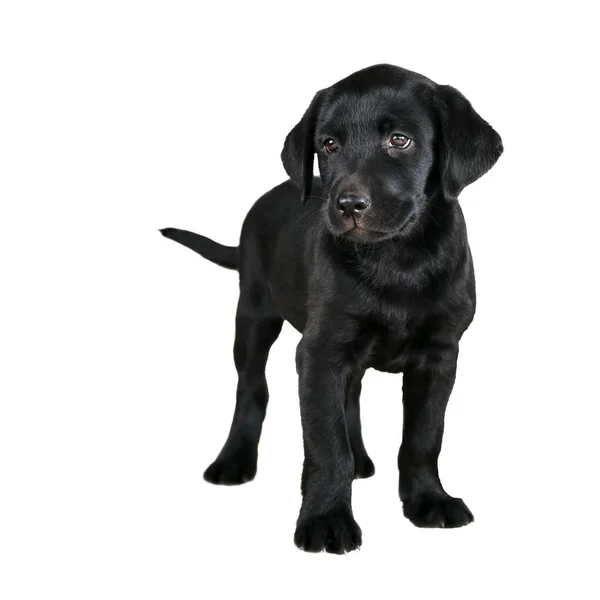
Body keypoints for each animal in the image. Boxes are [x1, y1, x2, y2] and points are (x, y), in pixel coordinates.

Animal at [159, 64, 502, 552]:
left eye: (400, 140)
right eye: (328, 144)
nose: (349, 204)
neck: (397, 259)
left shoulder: (440, 356)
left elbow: (423, 436)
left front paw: (428, 501)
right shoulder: (319, 352)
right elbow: (325, 441)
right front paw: (325, 519)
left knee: (350, 396)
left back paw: (361, 460)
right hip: (254, 315)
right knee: (252, 389)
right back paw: (234, 461)